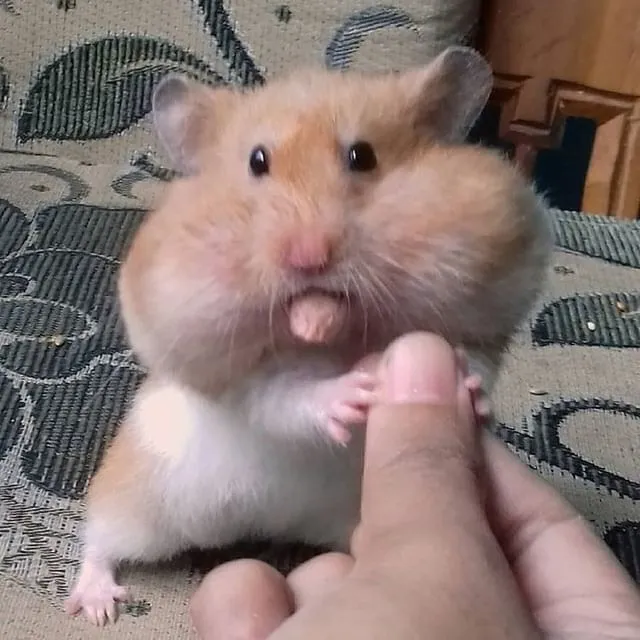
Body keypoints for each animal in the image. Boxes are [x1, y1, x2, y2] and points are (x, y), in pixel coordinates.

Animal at [65, 46, 551, 625]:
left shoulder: (485, 327)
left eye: (362, 156)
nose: (308, 258)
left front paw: (467, 394)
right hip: (137, 501)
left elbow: (474, 361)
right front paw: (357, 388)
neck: (330, 338)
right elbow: (290, 397)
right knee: (98, 538)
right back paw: (98, 605)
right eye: (257, 161)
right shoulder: (244, 383)